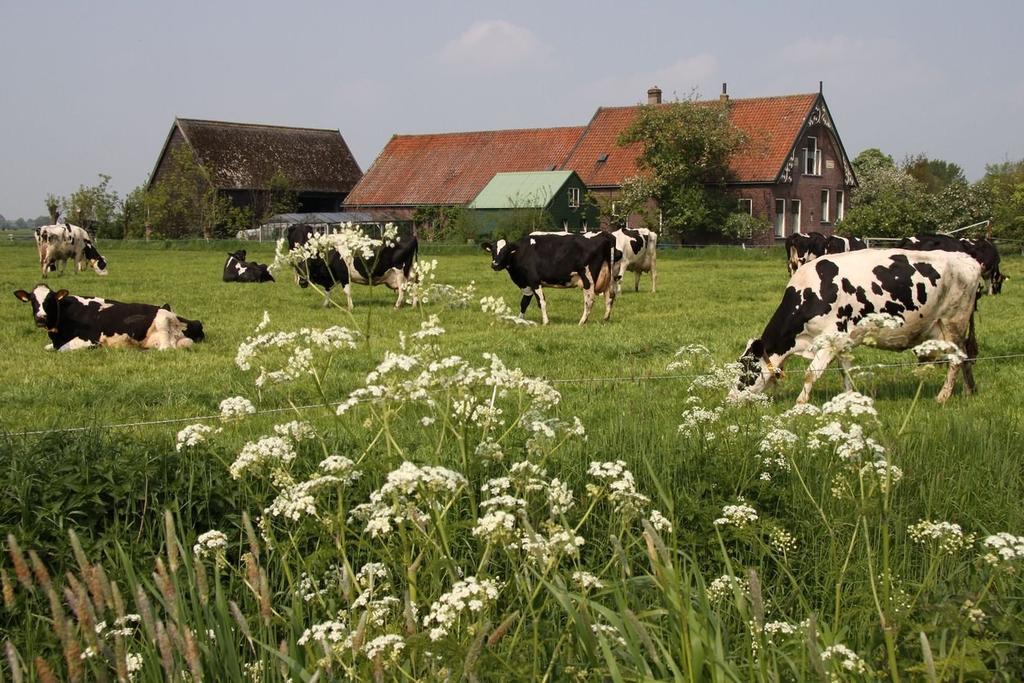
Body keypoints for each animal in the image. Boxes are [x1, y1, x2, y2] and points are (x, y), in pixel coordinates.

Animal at [14, 282, 203, 352]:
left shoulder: (90, 339)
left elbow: (62, 349)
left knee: (167, 348)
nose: (41, 318)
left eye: (50, 300)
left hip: (163, 320)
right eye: (32, 301)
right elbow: (47, 347)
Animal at [286, 224, 417, 309]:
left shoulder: (344, 274)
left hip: (399, 271)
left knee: (402, 289)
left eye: (309, 264)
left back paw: (397, 306)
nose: (302, 282)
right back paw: (414, 305)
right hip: (410, 271)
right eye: (297, 267)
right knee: (414, 286)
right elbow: (327, 291)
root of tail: (412, 236)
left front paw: (350, 307)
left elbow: (347, 291)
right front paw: (325, 305)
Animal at [481, 229, 614, 325]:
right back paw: (605, 319)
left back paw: (582, 322)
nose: (495, 264)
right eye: (492, 251)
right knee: (609, 297)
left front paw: (545, 322)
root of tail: (603, 234)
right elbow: (524, 303)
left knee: (589, 300)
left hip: (588, 279)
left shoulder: (534, 281)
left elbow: (541, 302)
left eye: (506, 251)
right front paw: (520, 320)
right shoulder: (527, 284)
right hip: (609, 277)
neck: (522, 252)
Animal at [737, 248, 983, 403]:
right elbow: (845, 373)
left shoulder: (831, 338)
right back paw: (969, 391)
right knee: (964, 357)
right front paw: (848, 400)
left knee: (956, 360)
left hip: (953, 321)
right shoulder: (842, 342)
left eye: (746, 369)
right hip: (944, 329)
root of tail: (968, 259)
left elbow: (811, 374)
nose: (732, 399)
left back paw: (942, 397)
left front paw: (800, 404)